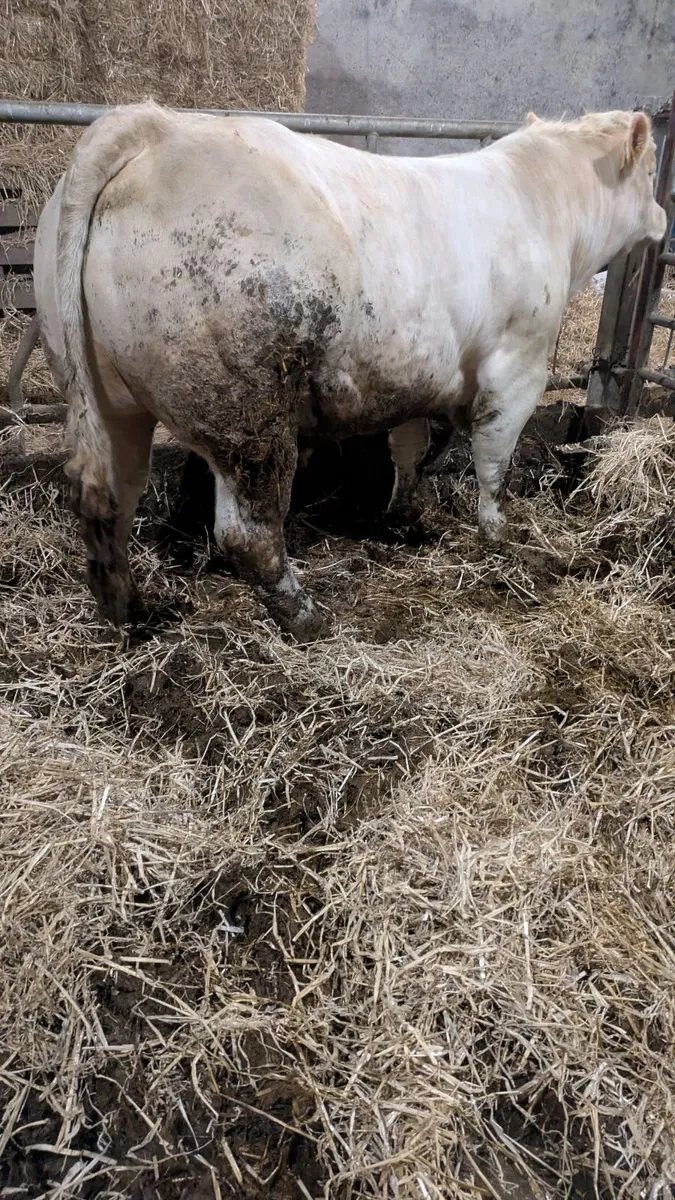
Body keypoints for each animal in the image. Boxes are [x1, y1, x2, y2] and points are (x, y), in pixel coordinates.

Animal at [34, 102, 666, 639]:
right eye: (654, 169)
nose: (663, 217)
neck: (544, 202)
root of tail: (157, 125)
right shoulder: (518, 367)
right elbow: (493, 463)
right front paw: (499, 537)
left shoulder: (422, 377)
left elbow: (410, 449)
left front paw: (405, 516)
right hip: (246, 415)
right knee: (248, 530)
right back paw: (303, 614)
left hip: (109, 401)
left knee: (109, 499)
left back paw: (131, 611)